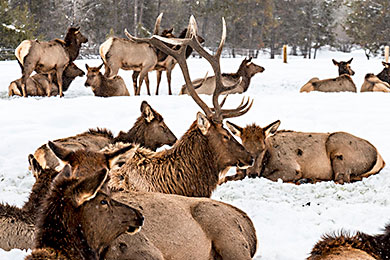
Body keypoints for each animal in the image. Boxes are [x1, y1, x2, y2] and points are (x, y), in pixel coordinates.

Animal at [221, 120, 386, 185]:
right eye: (243, 146)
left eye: (262, 149)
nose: (253, 174)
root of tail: (380, 158)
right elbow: (224, 179)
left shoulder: (292, 168)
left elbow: (269, 177)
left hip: (339, 151)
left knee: (340, 179)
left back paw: (307, 180)